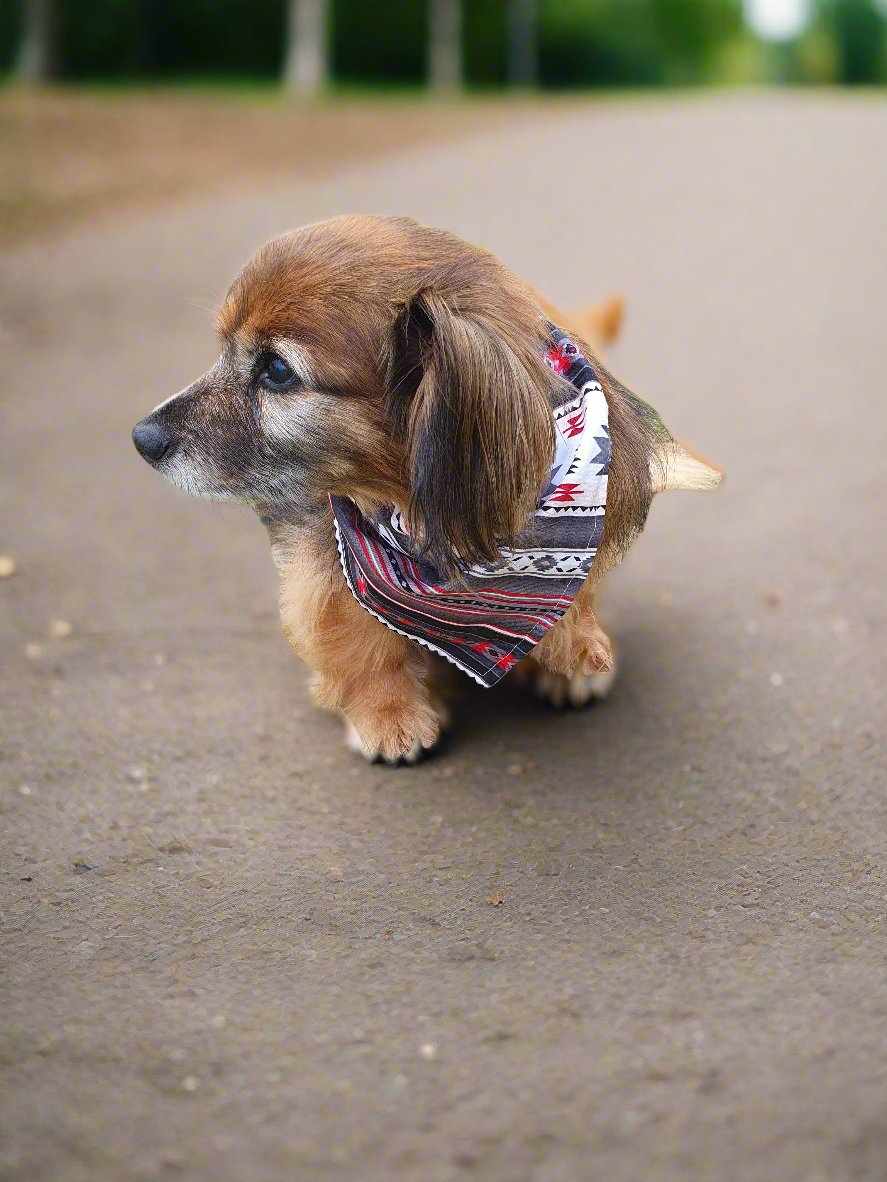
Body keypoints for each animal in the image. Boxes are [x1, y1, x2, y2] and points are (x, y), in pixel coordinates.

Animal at [131, 216, 719, 761]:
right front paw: (386, 713)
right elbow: (357, 631)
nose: (142, 438)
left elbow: (578, 594)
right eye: (222, 351)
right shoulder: (330, 540)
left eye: (276, 369)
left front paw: (570, 652)